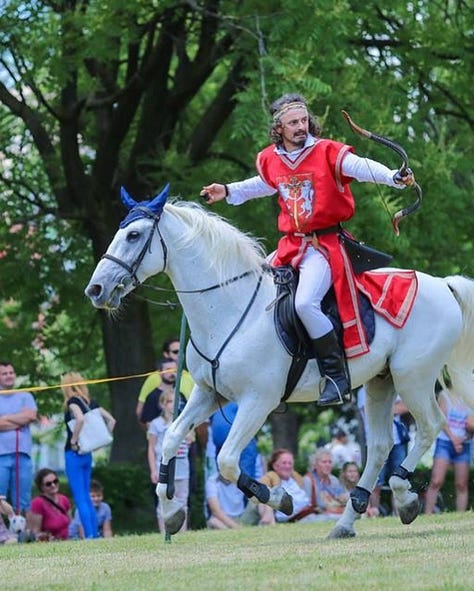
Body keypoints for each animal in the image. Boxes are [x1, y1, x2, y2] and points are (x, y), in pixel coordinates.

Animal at [85, 185, 474, 537]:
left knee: (430, 426)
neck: (229, 308)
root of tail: (443, 285)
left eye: (134, 235)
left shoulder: (258, 401)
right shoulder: (209, 393)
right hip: (382, 381)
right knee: (380, 447)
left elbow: (227, 461)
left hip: (413, 378)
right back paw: (349, 519)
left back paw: (404, 495)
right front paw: (170, 513)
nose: (96, 290)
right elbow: (171, 438)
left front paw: (278, 498)